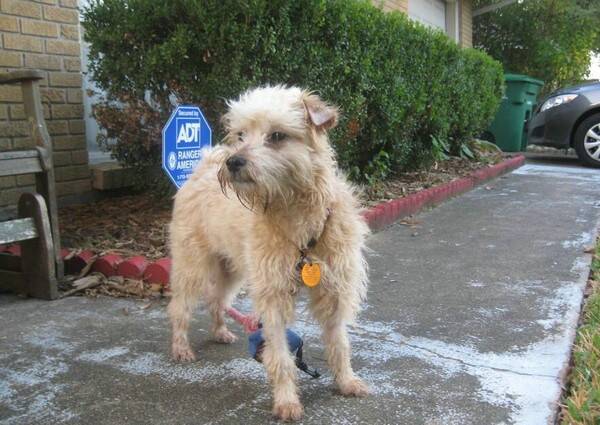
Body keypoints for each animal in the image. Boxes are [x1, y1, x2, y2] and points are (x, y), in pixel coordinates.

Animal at [166, 84, 368, 420]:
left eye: (276, 135)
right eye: (240, 135)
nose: (233, 162)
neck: (296, 217)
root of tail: (204, 165)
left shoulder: (334, 291)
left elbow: (339, 342)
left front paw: (346, 381)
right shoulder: (273, 295)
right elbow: (281, 355)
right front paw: (286, 401)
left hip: (231, 268)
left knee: (217, 300)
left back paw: (220, 331)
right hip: (193, 265)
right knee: (180, 307)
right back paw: (181, 348)